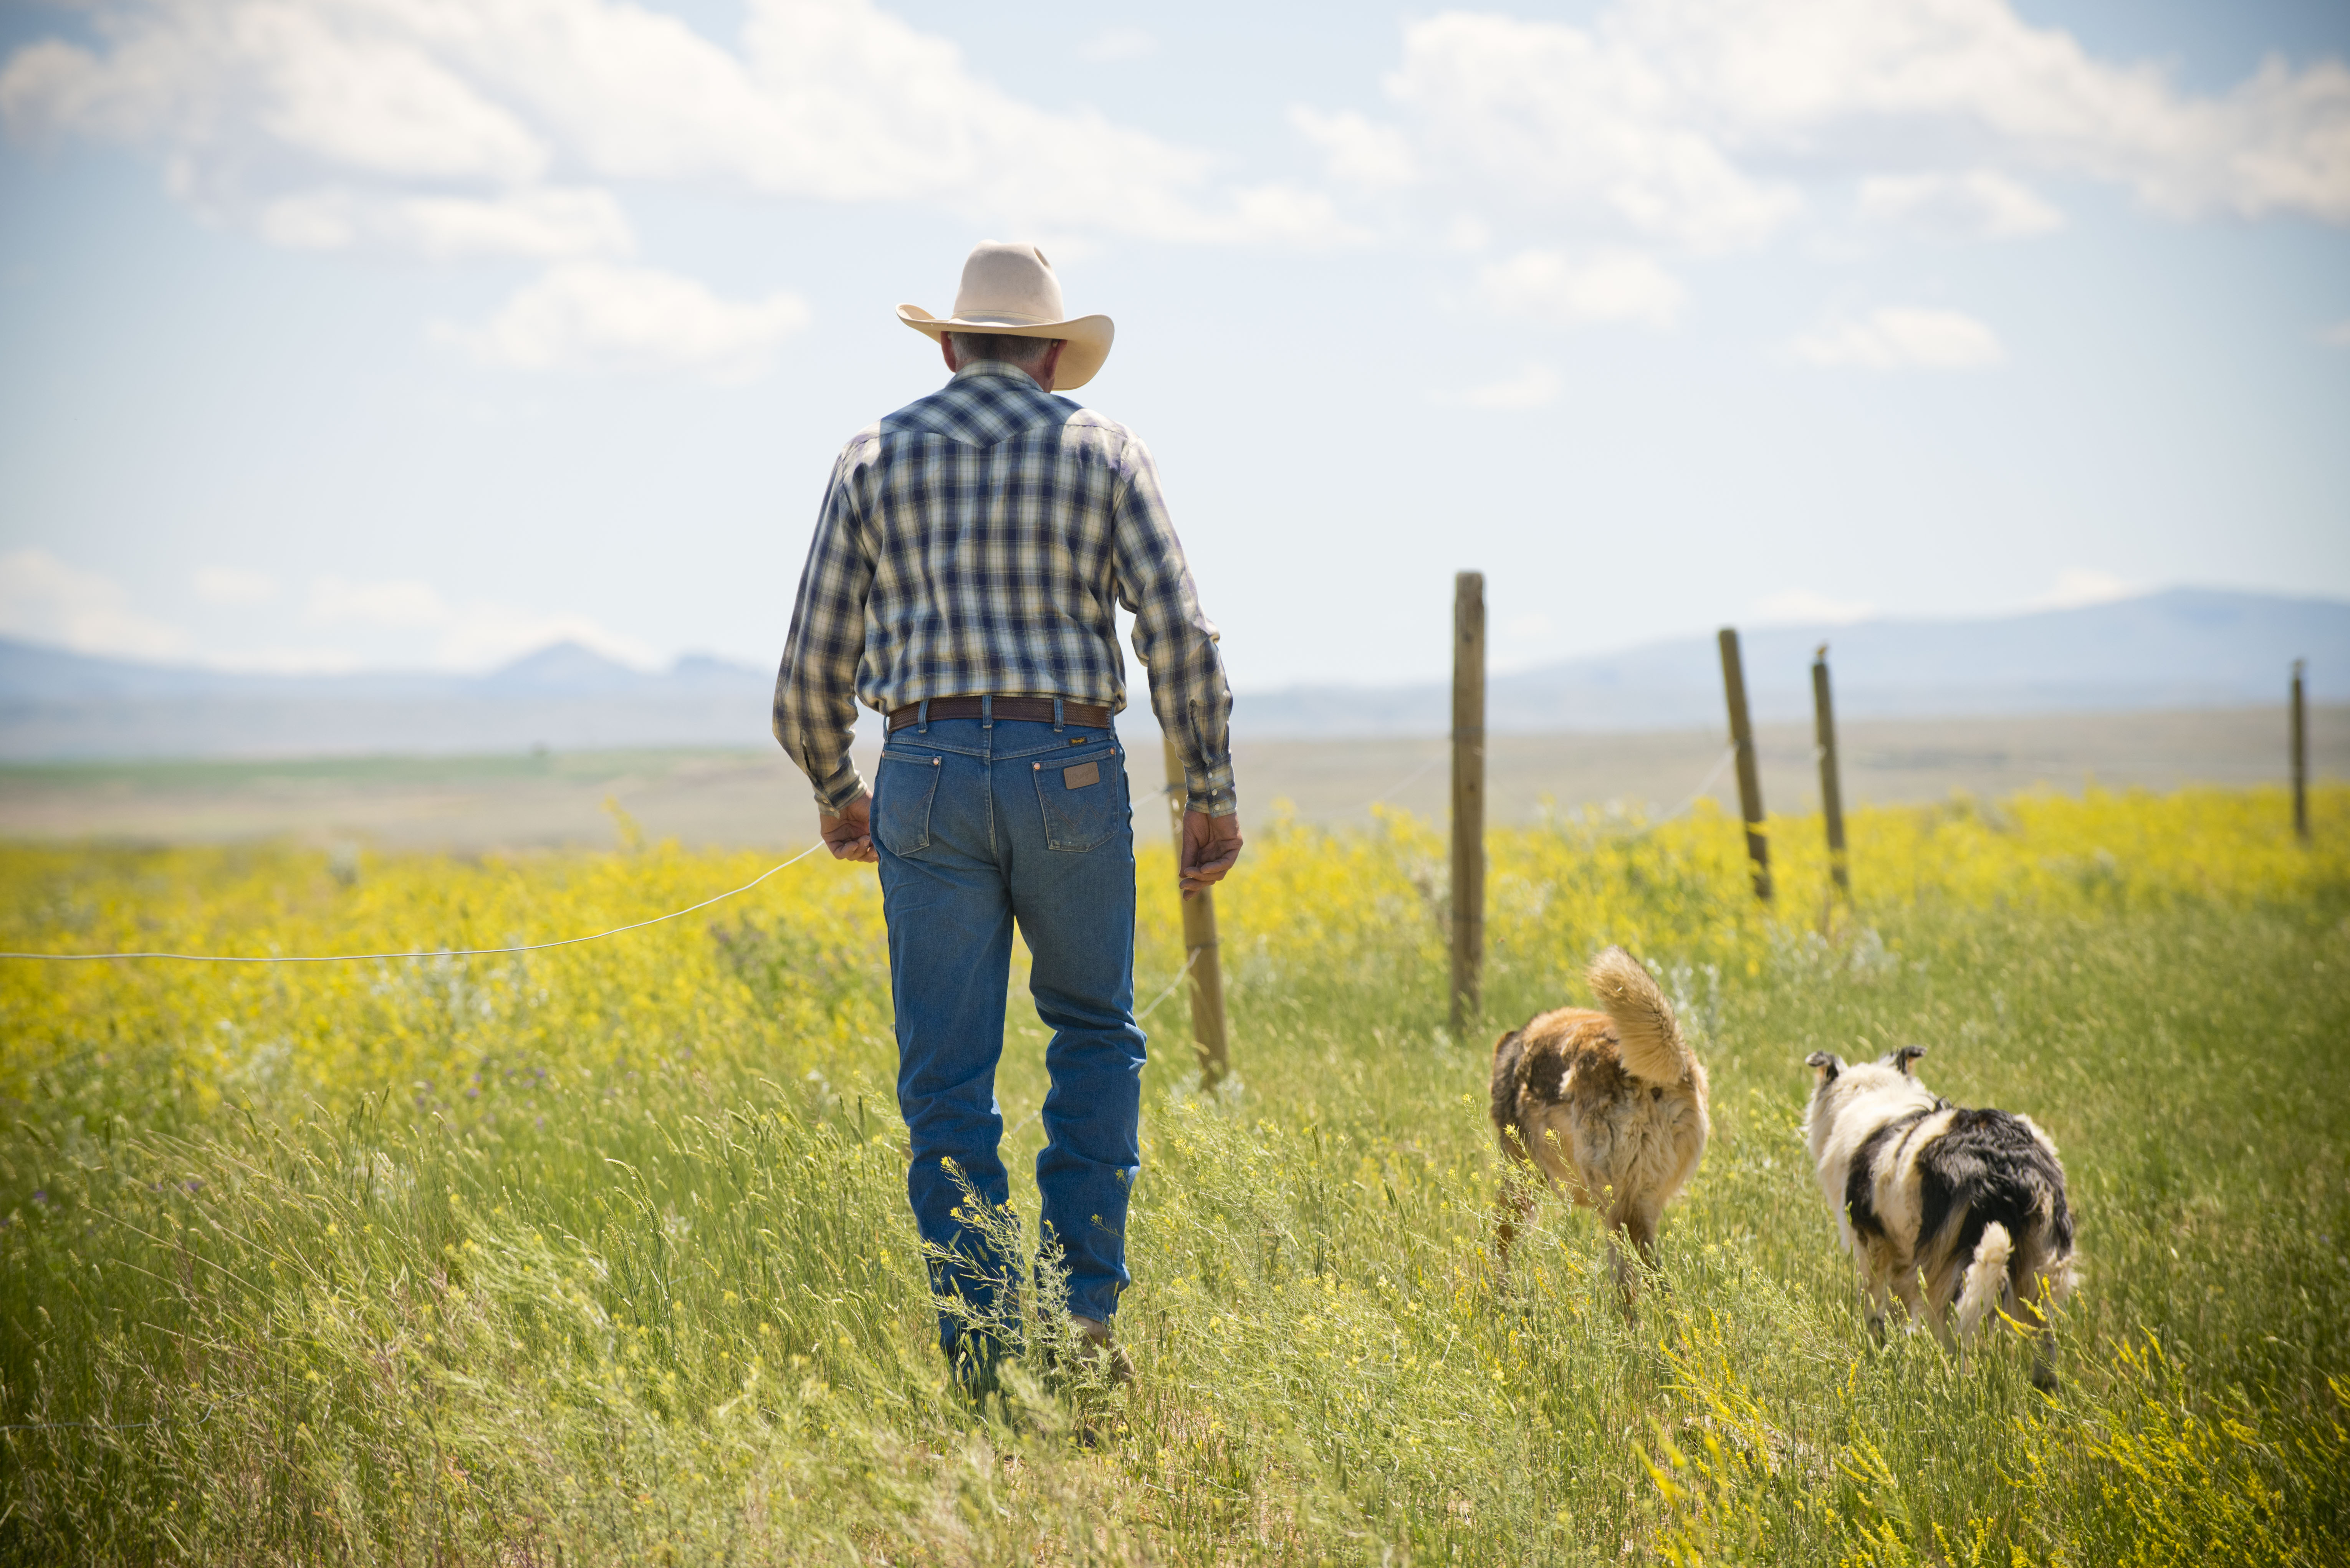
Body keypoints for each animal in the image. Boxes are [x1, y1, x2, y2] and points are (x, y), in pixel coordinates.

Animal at [1494, 959, 1720, 1297]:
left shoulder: (1520, 1176)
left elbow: (1501, 1244)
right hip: (1639, 1205)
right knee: (1656, 1282)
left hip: (1616, 1209)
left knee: (1633, 1280)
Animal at [1795, 1044, 2077, 1382]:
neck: (1874, 1096)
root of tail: (2007, 1166)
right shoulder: (1903, 1260)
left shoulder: (1872, 1246)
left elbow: (1875, 1311)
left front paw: (1878, 1353)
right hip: (2041, 1271)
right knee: (2044, 1348)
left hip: (1950, 1269)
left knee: (1957, 1335)